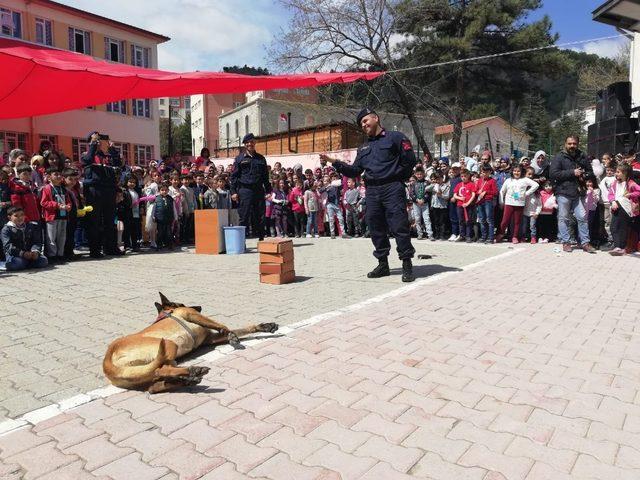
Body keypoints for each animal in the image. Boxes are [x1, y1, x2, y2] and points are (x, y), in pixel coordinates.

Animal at [102, 292, 278, 394]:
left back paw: (188, 378)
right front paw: (231, 336)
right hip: (168, 345)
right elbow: (222, 325)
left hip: (149, 370)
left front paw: (264, 326)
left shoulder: (210, 339)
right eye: (181, 303)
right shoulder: (192, 314)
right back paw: (193, 371)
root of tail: (107, 361)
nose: (200, 306)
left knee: (154, 387)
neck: (168, 313)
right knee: (161, 370)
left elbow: (243, 329)